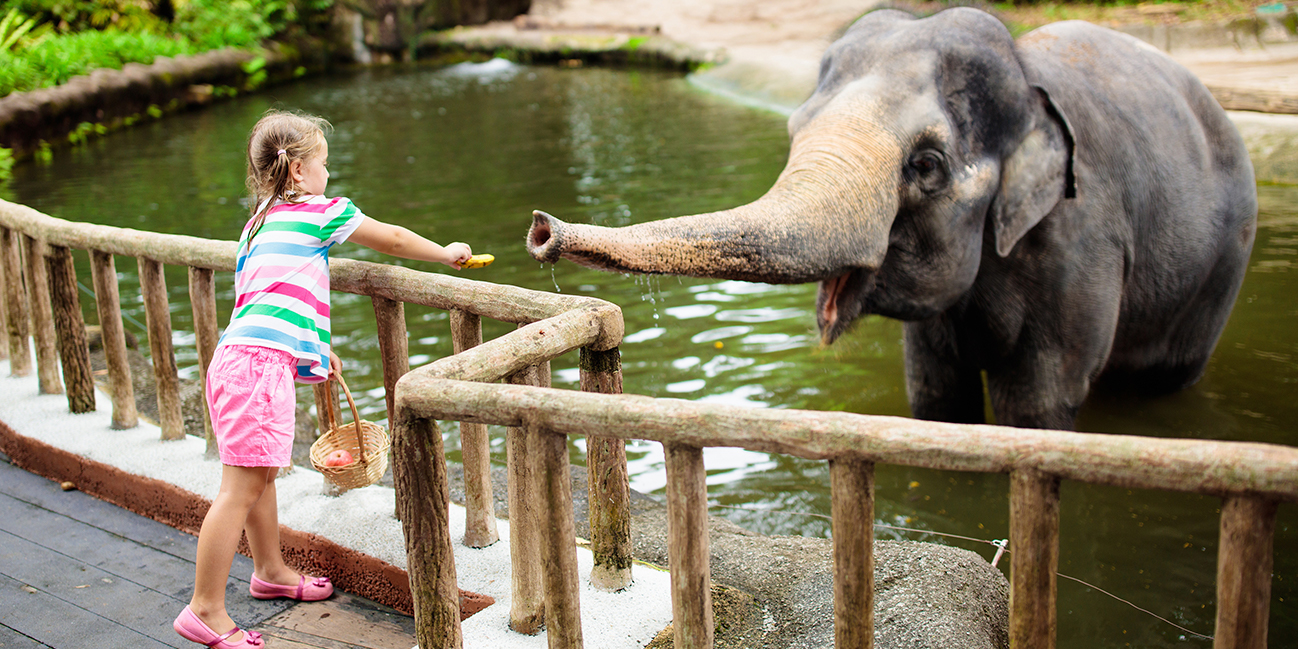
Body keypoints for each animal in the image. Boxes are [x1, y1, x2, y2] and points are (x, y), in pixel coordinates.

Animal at [521, 7, 1251, 430]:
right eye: (795, 127)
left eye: (926, 165)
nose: (542, 230)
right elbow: (935, 397)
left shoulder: (1079, 240)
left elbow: (1038, 401)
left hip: (1223, 263)